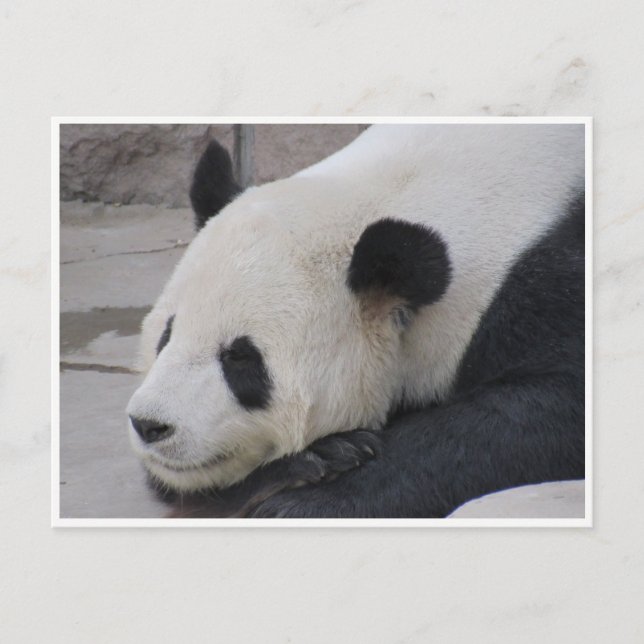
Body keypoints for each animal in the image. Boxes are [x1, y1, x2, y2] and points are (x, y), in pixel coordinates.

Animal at [126, 124, 585, 518]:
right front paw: (314, 460)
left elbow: (544, 414)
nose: (150, 424)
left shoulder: (547, 276)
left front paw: (310, 503)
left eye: (240, 357)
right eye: (166, 335)